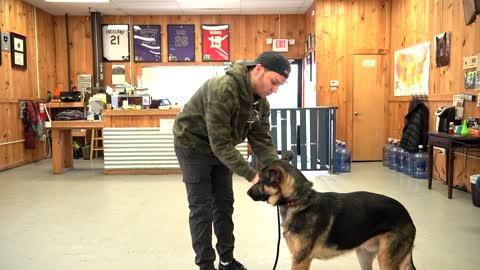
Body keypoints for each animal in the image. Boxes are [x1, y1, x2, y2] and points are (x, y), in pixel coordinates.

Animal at [248, 154, 416, 270]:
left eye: (261, 180)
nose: (247, 192)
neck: (299, 201)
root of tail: (407, 214)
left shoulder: (300, 261)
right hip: (364, 255)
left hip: (386, 260)